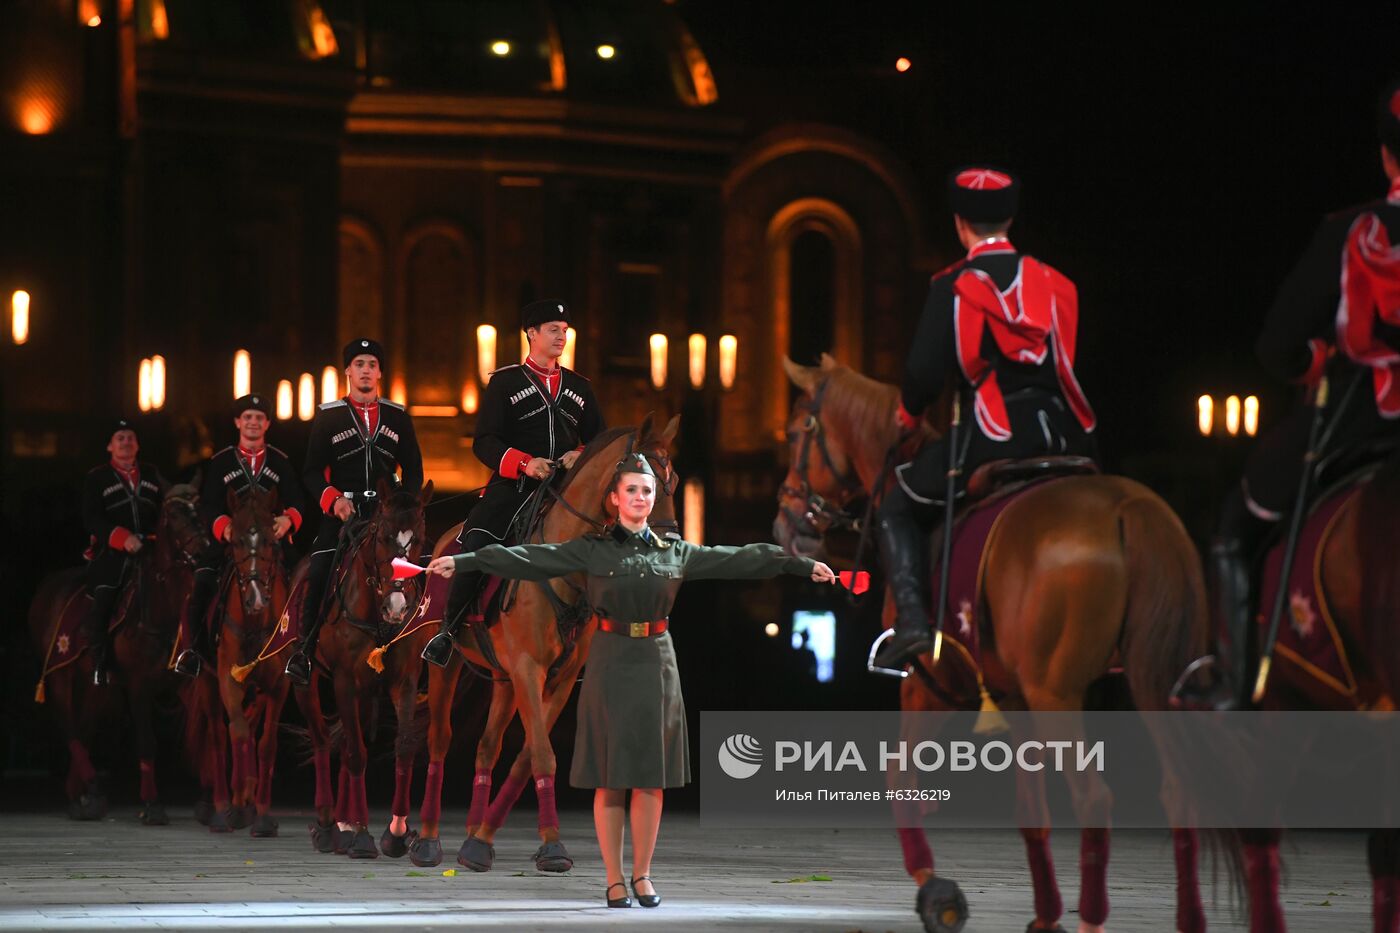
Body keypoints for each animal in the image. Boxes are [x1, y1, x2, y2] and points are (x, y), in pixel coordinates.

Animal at [29, 481, 212, 818]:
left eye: (202, 510)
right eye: (174, 515)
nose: (205, 550)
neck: (159, 611)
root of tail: (48, 586)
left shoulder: (181, 682)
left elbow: (206, 737)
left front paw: (209, 799)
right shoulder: (138, 686)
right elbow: (148, 742)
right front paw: (152, 803)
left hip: (94, 683)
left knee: (85, 728)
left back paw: (82, 795)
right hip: (59, 675)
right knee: (70, 728)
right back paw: (91, 788)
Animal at [301, 479, 436, 857]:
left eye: (419, 538)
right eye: (384, 537)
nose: (397, 606)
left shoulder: (404, 681)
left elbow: (403, 747)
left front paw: (396, 831)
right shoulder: (345, 681)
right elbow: (357, 754)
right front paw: (361, 834)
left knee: (349, 738)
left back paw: (344, 822)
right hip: (310, 684)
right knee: (324, 740)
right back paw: (329, 824)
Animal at [403, 417, 680, 868]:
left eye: (671, 481)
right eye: (640, 486)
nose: (665, 545)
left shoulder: (559, 679)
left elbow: (527, 755)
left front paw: (488, 839)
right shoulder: (529, 668)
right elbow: (541, 753)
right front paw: (548, 845)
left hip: (503, 678)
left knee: (487, 747)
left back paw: (471, 831)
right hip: (447, 664)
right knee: (440, 740)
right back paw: (427, 838)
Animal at [778, 355, 1226, 930]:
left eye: (796, 433)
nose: (786, 523)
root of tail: (1128, 508)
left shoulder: (930, 685)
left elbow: (901, 777)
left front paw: (935, 890)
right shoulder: (1013, 693)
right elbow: (1030, 808)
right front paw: (1045, 913)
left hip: (1057, 692)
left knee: (1093, 799)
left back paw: (1092, 917)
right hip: (1154, 681)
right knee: (1180, 794)